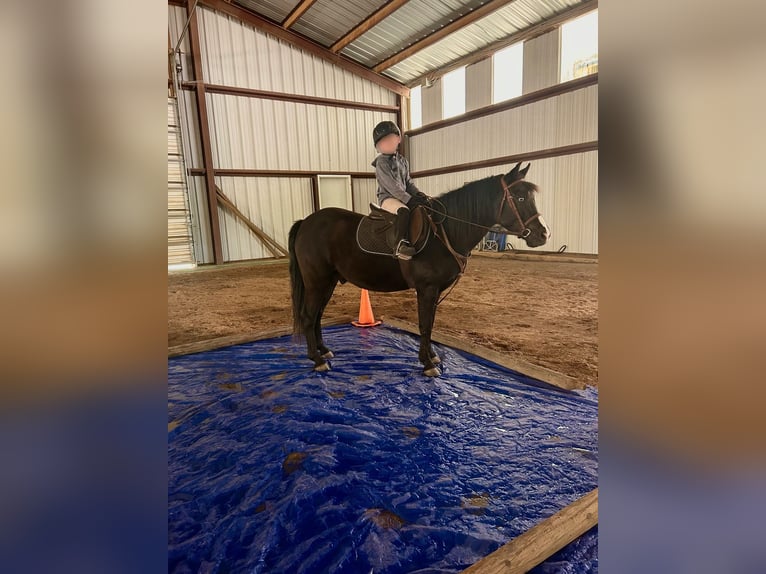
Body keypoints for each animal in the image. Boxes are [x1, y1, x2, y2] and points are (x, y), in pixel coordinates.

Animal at [288, 162, 550, 377]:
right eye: (520, 198)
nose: (543, 234)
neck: (444, 232)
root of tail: (306, 222)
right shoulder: (427, 289)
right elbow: (424, 325)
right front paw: (428, 364)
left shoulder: (434, 292)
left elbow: (430, 324)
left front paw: (431, 357)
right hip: (316, 282)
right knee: (309, 316)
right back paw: (317, 360)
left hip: (328, 282)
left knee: (317, 316)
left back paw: (324, 351)